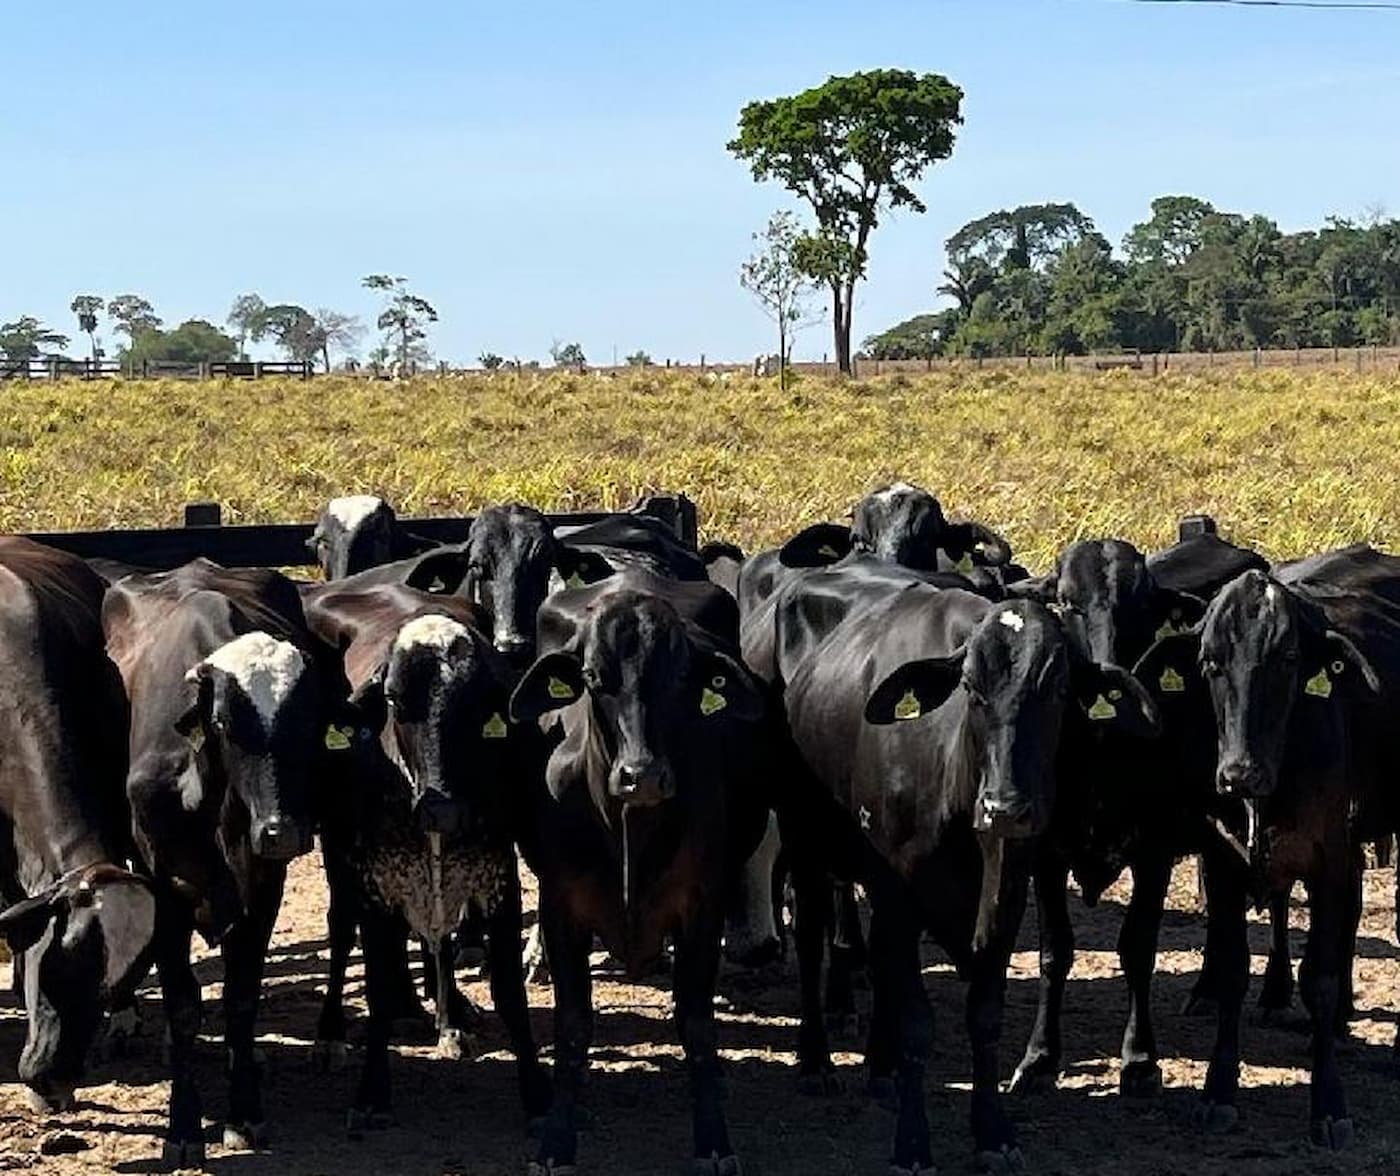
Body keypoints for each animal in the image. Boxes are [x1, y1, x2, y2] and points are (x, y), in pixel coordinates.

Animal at [303, 588, 548, 1131]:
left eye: (480, 705)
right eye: (394, 699)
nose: (442, 809)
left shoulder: (497, 880)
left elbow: (510, 994)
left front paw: (536, 1095)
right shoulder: (374, 886)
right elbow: (372, 985)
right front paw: (371, 1094)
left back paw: (445, 1015)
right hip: (340, 860)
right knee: (341, 930)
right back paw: (334, 1032)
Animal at [509, 568, 767, 1164]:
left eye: (682, 677)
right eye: (592, 676)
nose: (642, 775)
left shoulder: (702, 908)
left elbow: (697, 1025)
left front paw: (713, 1140)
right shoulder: (561, 908)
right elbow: (573, 1026)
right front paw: (557, 1140)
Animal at [772, 565, 1153, 1170]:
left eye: (1059, 691)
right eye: (972, 689)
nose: (1006, 806)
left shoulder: (1008, 893)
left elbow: (984, 1014)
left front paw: (992, 1131)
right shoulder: (898, 891)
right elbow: (916, 1022)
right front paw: (912, 1143)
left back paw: (879, 1068)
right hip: (804, 837)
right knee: (810, 942)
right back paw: (816, 1062)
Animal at [1136, 548, 1400, 1148]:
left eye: (1288, 659)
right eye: (1210, 663)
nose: (1239, 773)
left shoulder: (1331, 859)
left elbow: (1321, 977)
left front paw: (1328, 1104)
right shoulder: (1223, 859)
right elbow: (1233, 966)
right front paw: (1218, 1091)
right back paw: (1279, 994)